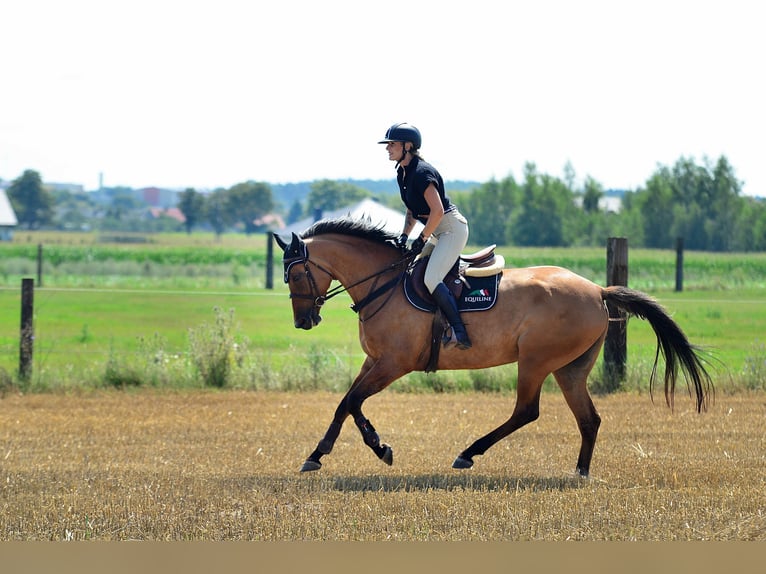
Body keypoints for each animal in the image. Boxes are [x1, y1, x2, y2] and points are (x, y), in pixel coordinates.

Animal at [274, 218, 712, 480]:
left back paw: (469, 452)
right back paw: (580, 472)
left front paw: (373, 449)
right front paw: (329, 452)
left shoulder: (394, 363)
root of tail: (597, 289)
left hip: (536, 360)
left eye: (294, 274)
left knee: (527, 411)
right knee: (589, 419)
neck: (383, 283)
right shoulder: (375, 361)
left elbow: (352, 402)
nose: (303, 321)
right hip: (569, 368)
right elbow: (346, 403)